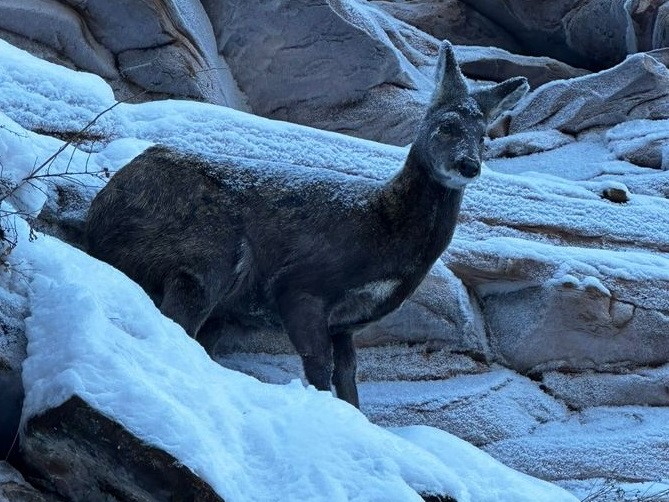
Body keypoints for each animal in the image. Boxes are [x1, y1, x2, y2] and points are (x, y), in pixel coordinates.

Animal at [86, 41, 529, 408]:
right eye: (446, 126)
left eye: (483, 137)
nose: (468, 165)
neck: (384, 227)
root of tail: (100, 208)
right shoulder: (301, 284)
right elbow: (318, 367)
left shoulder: (346, 325)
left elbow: (348, 379)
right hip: (204, 254)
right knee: (178, 319)